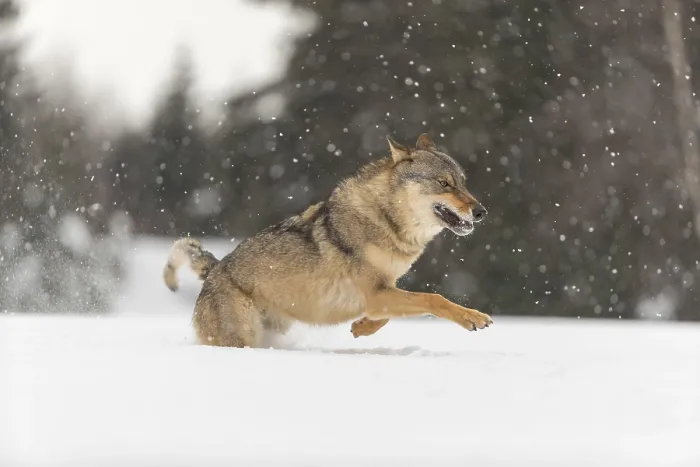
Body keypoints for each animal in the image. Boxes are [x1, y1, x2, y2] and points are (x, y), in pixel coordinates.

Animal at [163, 133, 492, 348]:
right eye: (444, 183)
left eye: (463, 183)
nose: (481, 212)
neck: (385, 220)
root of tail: (215, 269)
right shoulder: (376, 294)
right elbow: (432, 298)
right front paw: (473, 317)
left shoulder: (383, 291)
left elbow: (387, 316)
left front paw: (361, 327)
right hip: (241, 339)